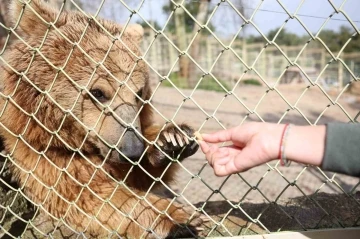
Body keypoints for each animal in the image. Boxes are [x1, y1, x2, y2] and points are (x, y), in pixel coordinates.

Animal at [0, 0, 202, 238]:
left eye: (139, 93)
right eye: (98, 92)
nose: (132, 150)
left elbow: (136, 173)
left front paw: (173, 140)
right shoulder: (37, 151)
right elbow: (89, 194)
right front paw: (178, 222)